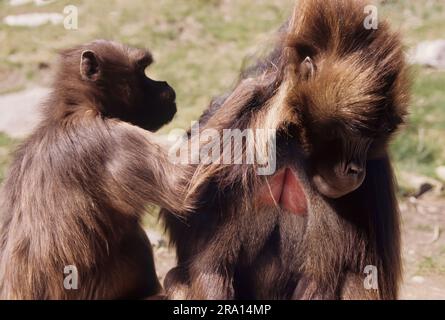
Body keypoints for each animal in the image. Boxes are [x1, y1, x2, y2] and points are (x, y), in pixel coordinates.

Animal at [164, 0, 410, 300]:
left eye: (371, 137)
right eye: (353, 131)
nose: (356, 170)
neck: (293, 144)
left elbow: (321, 278)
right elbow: (210, 266)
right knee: (175, 277)